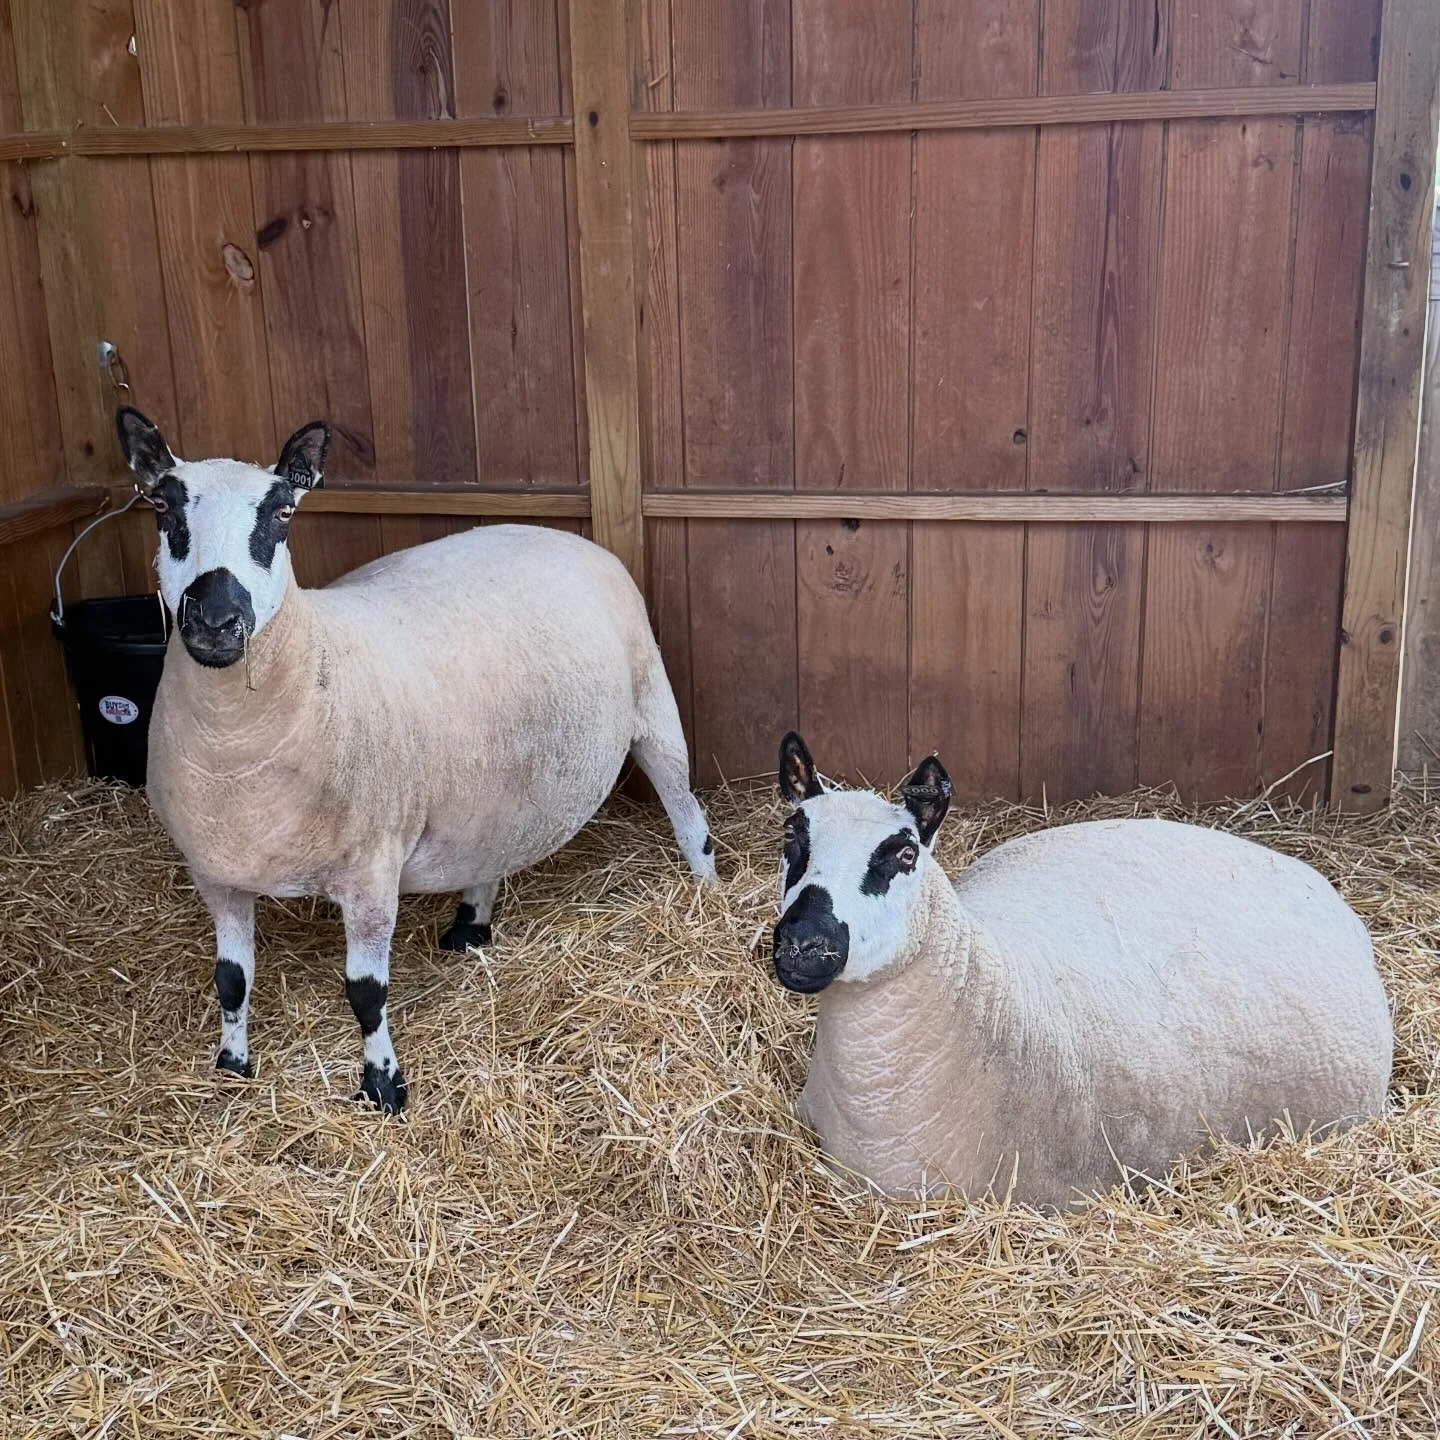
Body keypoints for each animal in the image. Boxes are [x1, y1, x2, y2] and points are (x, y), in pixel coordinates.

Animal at [115, 407, 716, 1113]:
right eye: (162, 507)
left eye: (283, 513)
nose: (216, 619)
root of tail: (563, 535)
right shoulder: (216, 873)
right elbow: (231, 980)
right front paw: (233, 1064)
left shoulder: (371, 870)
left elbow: (365, 993)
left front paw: (383, 1086)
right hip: (494, 778)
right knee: (494, 845)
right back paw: (471, 926)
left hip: (654, 703)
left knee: (687, 814)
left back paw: (707, 897)